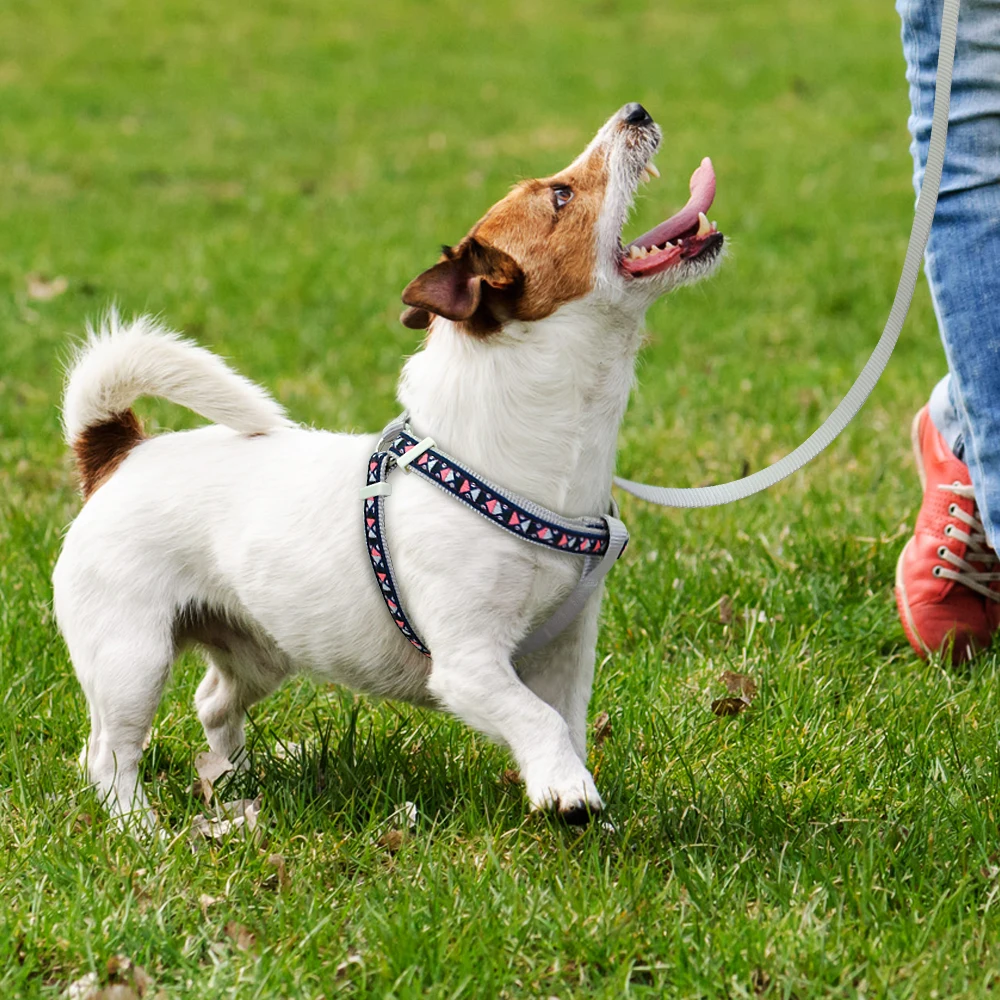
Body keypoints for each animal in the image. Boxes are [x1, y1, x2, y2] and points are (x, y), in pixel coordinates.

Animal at [50, 105, 724, 832]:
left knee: (209, 704)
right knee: (110, 753)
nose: (636, 111)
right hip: (130, 657)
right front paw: (568, 792)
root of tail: (119, 452)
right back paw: (140, 829)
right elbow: (537, 719)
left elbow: (564, 725)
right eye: (561, 195)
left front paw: (570, 792)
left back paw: (234, 781)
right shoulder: (467, 665)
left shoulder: (566, 652)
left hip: (259, 649)